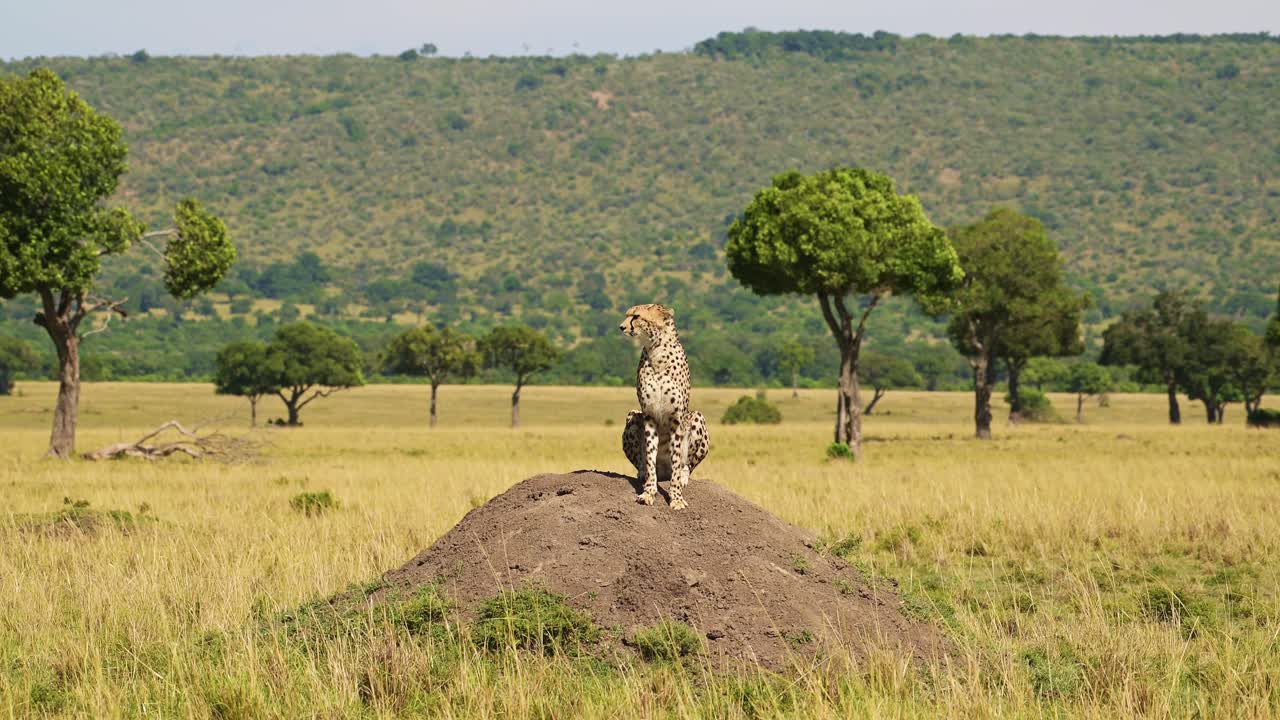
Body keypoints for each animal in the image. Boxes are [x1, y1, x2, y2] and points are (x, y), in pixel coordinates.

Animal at [619, 303, 709, 510]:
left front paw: (676, 497)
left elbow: (676, 459)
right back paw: (642, 472)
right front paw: (648, 492)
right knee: (643, 462)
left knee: (686, 465)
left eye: (636, 316)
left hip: (697, 417)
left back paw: (683, 476)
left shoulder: (677, 418)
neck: (656, 349)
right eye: (628, 315)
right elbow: (650, 457)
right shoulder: (649, 415)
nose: (621, 327)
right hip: (633, 416)